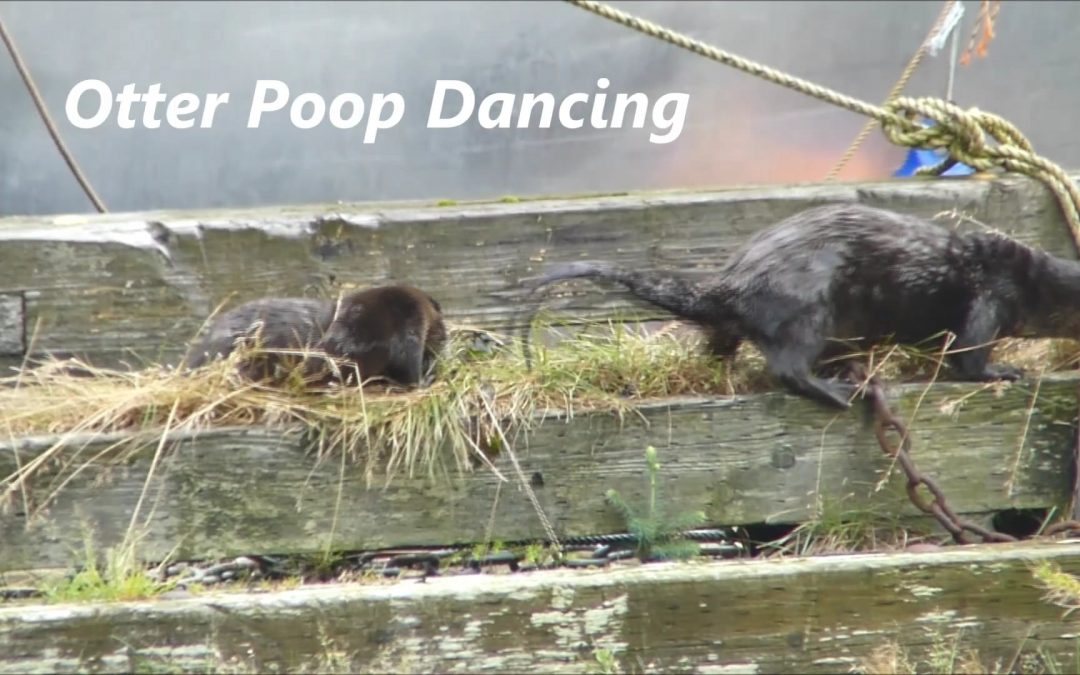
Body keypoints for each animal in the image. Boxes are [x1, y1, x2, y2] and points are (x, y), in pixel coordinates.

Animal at [521, 203, 1080, 410]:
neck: (1030, 281)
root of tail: (737, 279)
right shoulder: (990, 300)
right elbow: (968, 358)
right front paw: (1002, 372)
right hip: (810, 306)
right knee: (787, 367)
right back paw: (838, 391)